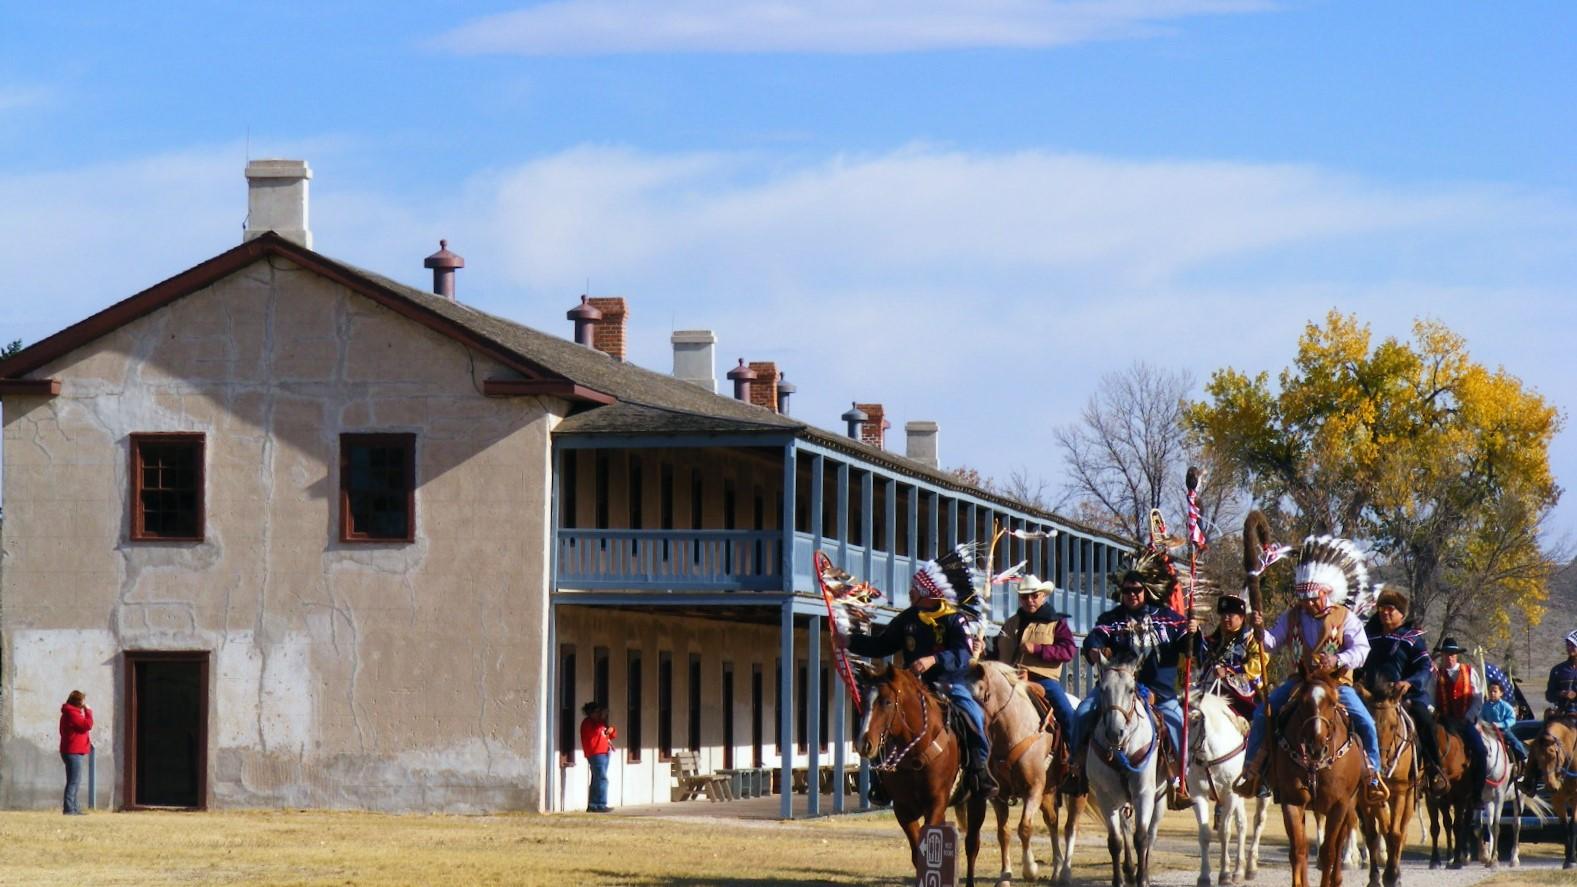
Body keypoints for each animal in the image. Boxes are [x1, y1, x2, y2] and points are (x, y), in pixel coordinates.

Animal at [857, 659, 990, 877]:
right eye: (863, 702)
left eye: (886, 702)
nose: (863, 744)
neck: (915, 751)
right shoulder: (903, 809)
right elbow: (918, 854)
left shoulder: (936, 803)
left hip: (978, 799)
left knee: (972, 845)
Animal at [1185, 691, 1267, 883]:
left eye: (1195, 720)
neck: (1211, 757)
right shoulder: (1198, 795)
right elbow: (1204, 834)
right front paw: (1204, 876)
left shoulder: (1230, 794)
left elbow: (1224, 832)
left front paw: (1224, 874)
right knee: (1242, 824)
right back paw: (1239, 870)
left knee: (1258, 821)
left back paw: (1251, 867)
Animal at [1267, 666, 1368, 883]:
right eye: (1303, 702)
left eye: (1332, 702)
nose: (1316, 748)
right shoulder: (1292, 802)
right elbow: (1298, 851)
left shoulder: (1338, 805)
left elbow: (1329, 851)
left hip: (1349, 804)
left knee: (1338, 845)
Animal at [1356, 678, 1419, 887]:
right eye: (1369, 723)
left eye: (1393, 726)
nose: (1381, 767)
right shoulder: (1372, 795)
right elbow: (1379, 833)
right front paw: (1381, 876)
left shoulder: (1399, 791)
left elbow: (1395, 833)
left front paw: (1392, 874)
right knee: (1375, 833)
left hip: (1410, 794)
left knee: (1402, 831)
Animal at [1532, 713, 1577, 864]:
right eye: (1537, 758)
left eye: (1553, 755)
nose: (1551, 786)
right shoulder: (1557, 800)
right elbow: (1564, 826)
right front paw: (1568, 858)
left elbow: (1573, 824)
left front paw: (1572, 858)